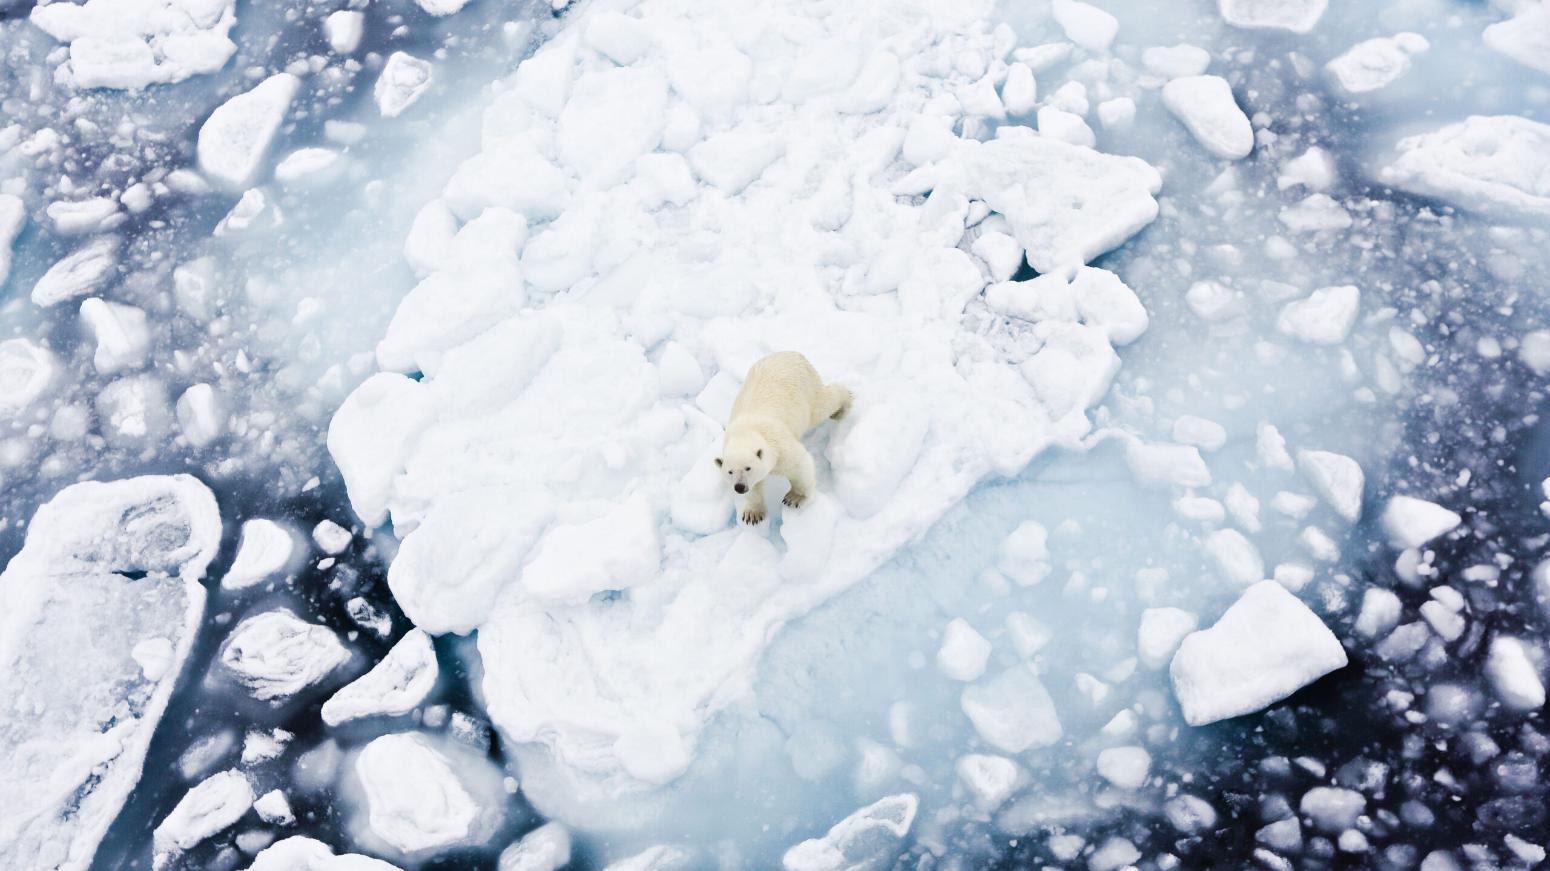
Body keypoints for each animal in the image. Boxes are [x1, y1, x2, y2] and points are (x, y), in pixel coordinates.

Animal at [713, 350, 849, 520]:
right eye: (730, 471)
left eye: (748, 468)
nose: (739, 487)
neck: (746, 432)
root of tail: (791, 353)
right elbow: (755, 487)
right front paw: (752, 514)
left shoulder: (780, 446)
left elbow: (800, 465)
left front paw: (795, 497)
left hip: (807, 390)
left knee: (823, 405)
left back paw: (843, 405)